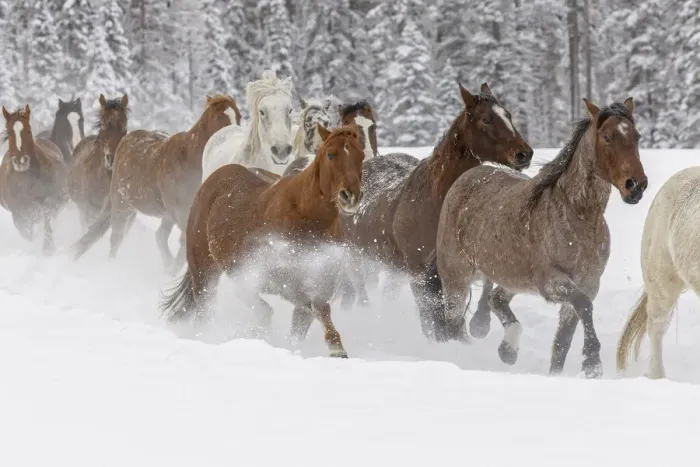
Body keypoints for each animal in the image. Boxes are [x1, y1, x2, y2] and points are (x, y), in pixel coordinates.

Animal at [0, 105, 69, 254]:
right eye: (9, 132)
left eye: (28, 131)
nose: (21, 161)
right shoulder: (18, 212)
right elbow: (26, 231)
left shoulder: (52, 199)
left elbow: (47, 214)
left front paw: (48, 248)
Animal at [160, 124, 365, 358]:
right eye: (331, 154)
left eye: (361, 156)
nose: (350, 196)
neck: (304, 216)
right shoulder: (279, 280)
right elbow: (313, 306)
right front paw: (336, 348)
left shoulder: (317, 281)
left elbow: (306, 318)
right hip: (204, 270)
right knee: (208, 308)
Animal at [339, 83, 533, 340]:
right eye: (485, 119)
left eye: (508, 115)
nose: (524, 154)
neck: (434, 205)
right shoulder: (421, 274)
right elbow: (432, 322)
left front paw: (478, 326)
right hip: (357, 258)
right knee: (360, 293)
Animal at [435, 97, 647, 379]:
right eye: (607, 137)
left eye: (637, 136)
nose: (636, 185)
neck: (577, 216)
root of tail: (464, 179)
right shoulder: (553, 282)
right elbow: (584, 307)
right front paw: (592, 362)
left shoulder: (589, 283)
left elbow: (562, 343)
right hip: (456, 279)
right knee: (454, 325)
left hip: (512, 277)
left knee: (495, 299)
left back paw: (508, 350)